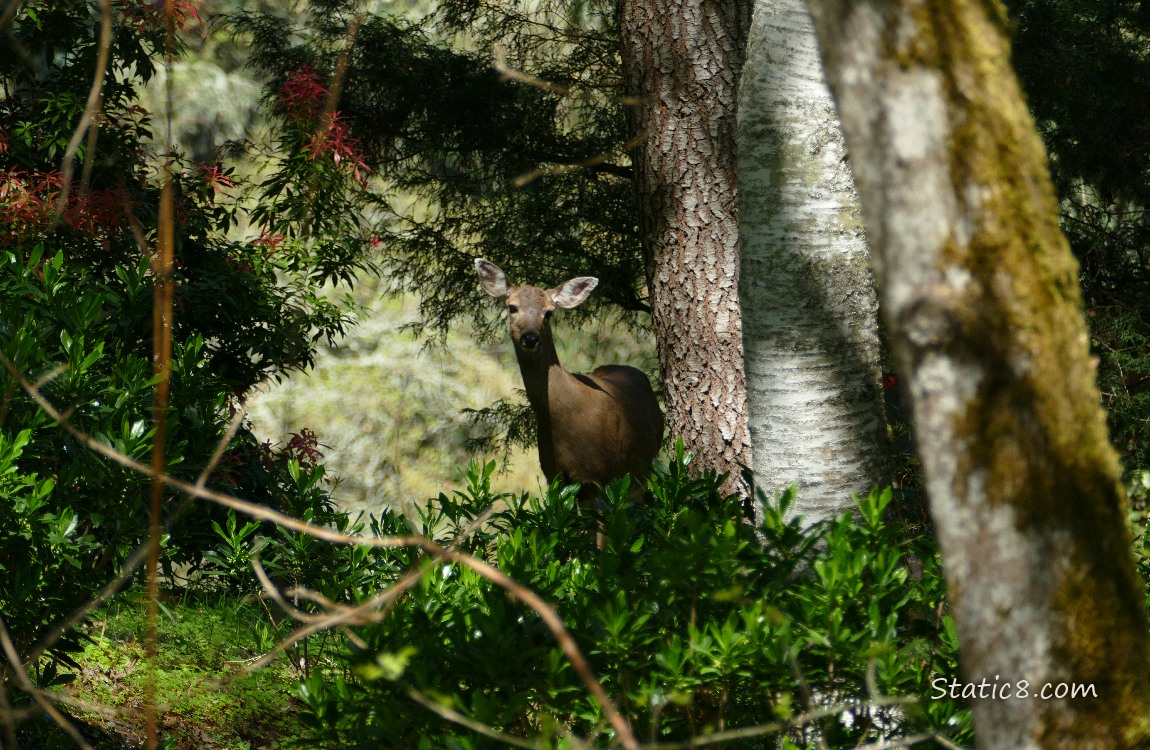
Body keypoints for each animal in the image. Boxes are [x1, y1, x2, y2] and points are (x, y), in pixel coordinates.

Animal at [475, 258, 664, 540]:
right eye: (512, 307)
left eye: (548, 313)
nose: (530, 337)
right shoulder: (554, 475)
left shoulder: (598, 474)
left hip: (641, 466)